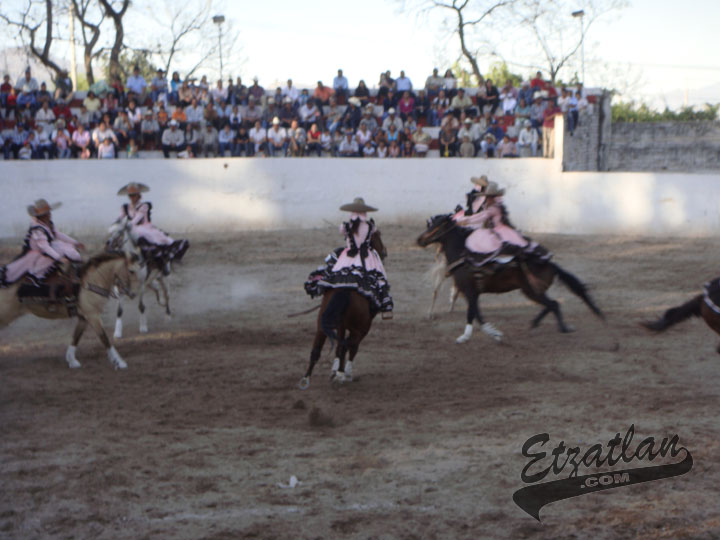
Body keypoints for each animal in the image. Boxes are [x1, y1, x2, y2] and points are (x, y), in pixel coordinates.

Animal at [0, 252, 141, 369]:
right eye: (131, 271)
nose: (134, 294)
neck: (90, 282)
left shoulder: (84, 317)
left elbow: (76, 337)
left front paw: (72, 360)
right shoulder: (93, 315)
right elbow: (104, 338)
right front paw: (119, 362)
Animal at [299, 231, 387, 389]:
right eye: (378, 235)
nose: (384, 252)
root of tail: (345, 288)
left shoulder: (341, 325)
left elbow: (339, 346)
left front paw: (334, 370)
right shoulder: (363, 328)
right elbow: (352, 348)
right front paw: (345, 373)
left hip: (322, 324)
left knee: (317, 350)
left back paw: (306, 379)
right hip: (359, 328)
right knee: (348, 345)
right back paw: (341, 375)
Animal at [417, 214, 604, 343]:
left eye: (435, 225)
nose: (419, 239)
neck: (463, 255)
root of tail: (550, 264)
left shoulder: (470, 291)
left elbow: (472, 314)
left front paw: (467, 336)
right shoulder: (472, 294)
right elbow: (477, 314)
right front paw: (492, 333)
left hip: (531, 291)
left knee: (553, 304)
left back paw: (561, 328)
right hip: (531, 291)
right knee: (552, 304)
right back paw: (537, 324)